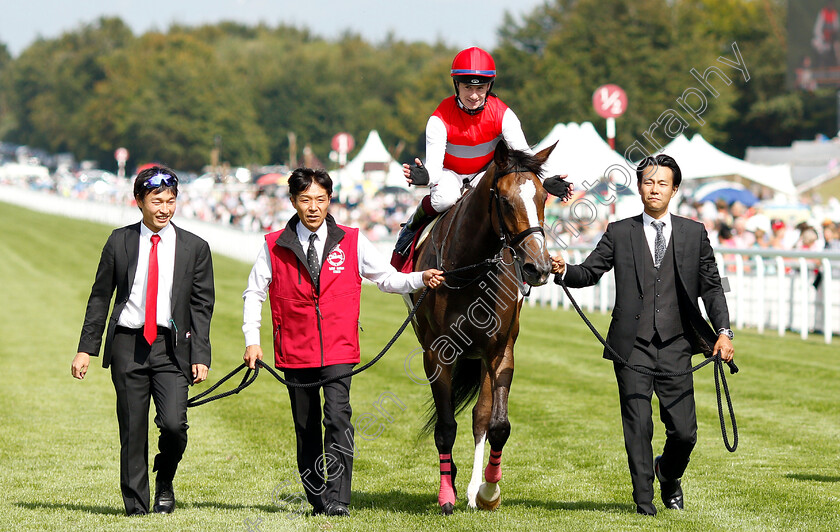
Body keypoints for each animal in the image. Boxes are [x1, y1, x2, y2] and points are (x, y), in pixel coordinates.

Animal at [408, 139, 556, 512]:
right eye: (504, 200)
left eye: (542, 197)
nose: (539, 267)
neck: (471, 270)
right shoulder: (437, 353)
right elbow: (445, 426)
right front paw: (447, 494)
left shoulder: (500, 349)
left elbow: (496, 423)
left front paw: (489, 491)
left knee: (480, 416)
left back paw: (475, 488)